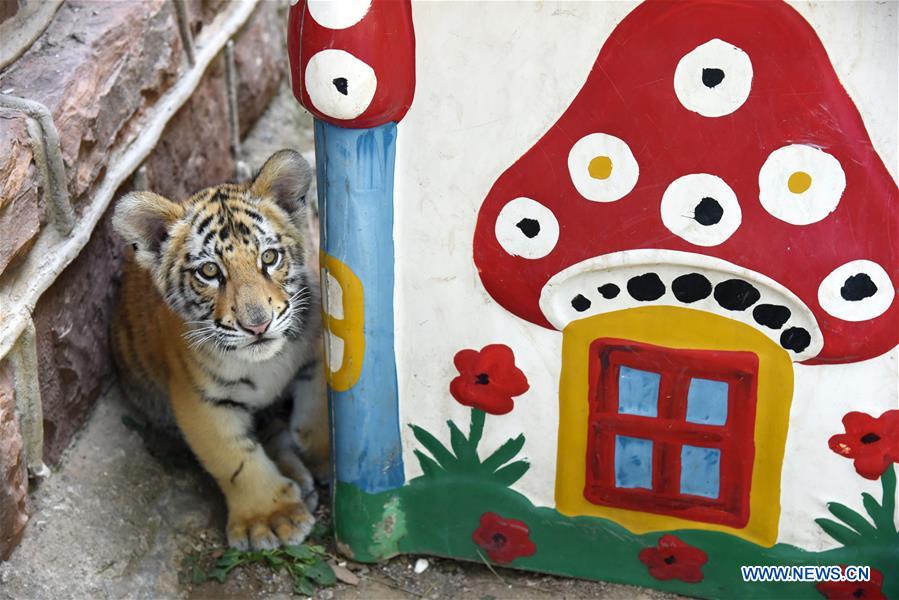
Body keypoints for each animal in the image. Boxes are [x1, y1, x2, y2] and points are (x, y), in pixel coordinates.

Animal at [110, 149, 328, 550]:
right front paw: (270, 518)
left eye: (269, 258)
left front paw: (330, 457)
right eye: (210, 272)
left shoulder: (320, 352)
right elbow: (235, 459)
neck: (265, 364)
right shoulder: (200, 397)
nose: (257, 325)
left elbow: (317, 416)